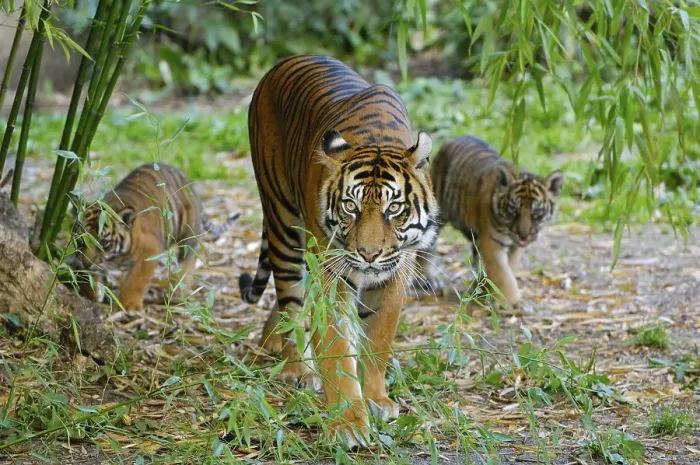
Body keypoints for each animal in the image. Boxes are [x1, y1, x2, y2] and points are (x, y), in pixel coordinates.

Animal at [73, 162, 240, 310]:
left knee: (188, 259)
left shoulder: (149, 251)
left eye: (104, 243)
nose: (86, 264)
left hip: (188, 234)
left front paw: (129, 304)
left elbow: (136, 280)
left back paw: (178, 291)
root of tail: (185, 177)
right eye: (81, 240)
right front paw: (92, 294)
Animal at [238, 55, 438, 448]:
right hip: (284, 222)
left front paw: (377, 400)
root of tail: (283, 62)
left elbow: (378, 339)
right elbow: (335, 346)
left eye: (394, 208)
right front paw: (347, 422)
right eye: (350, 207)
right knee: (290, 302)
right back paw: (298, 368)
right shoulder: (331, 276)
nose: (369, 254)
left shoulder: (396, 274)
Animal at [417, 135, 564, 306]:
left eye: (537, 212)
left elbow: (509, 269)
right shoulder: (491, 243)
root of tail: (452, 139)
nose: (524, 236)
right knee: (426, 248)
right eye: (513, 210)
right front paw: (510, 303)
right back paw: (430, 280)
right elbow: (503, 274)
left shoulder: (514, 247)